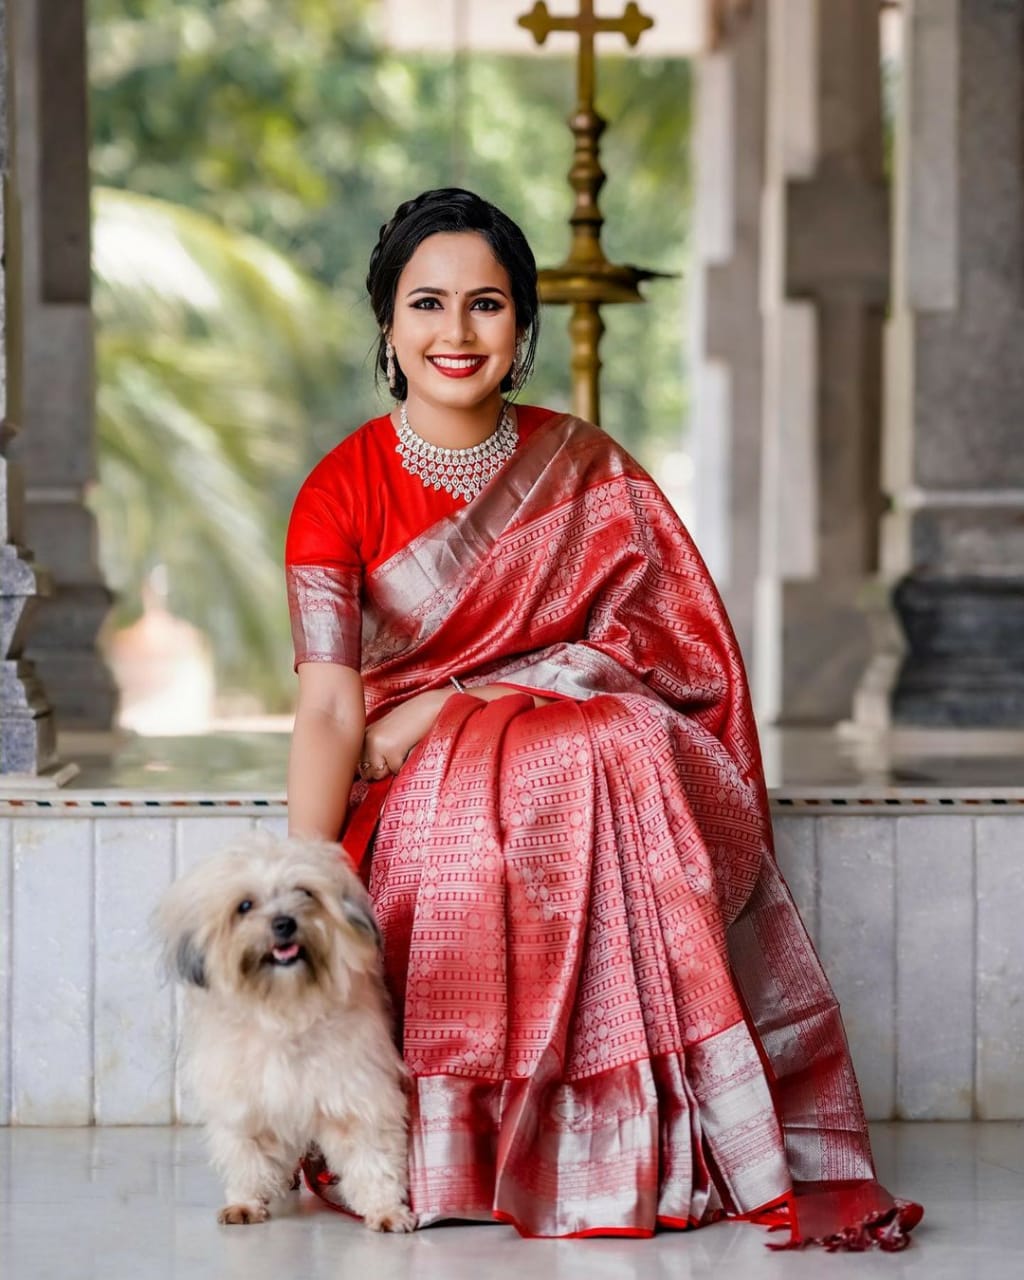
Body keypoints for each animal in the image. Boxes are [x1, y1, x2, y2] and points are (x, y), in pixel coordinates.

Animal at [158, 829, 414, 1228]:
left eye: (305, 893)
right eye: (245, 905)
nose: (284, 924)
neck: (287, 1010)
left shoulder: (358, 1096)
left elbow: (373, 1160)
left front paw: (386, 1211)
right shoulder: (246, 1102)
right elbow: (247, 1157)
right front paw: (246, 1203)